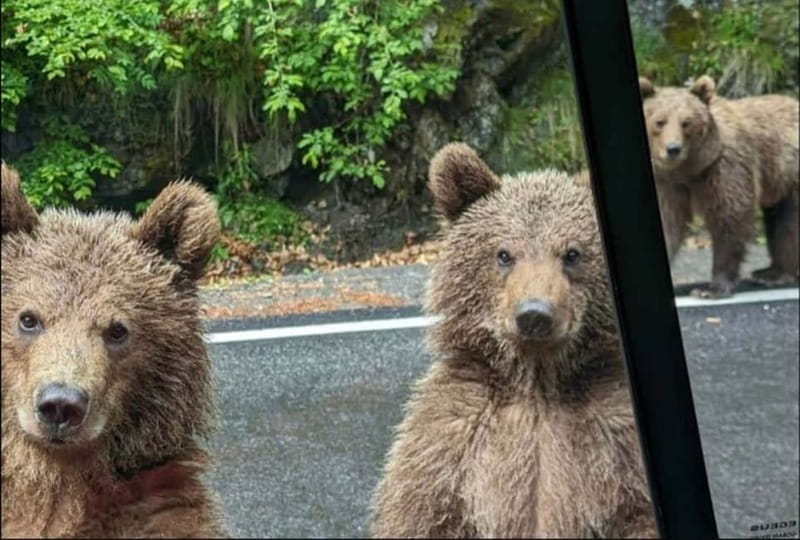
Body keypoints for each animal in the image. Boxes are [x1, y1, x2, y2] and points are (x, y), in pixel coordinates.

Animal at [370, 143, 657, 538]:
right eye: (504, 254)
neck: (536, 384)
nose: (534, 314)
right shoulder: (450, 443)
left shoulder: (615, 437)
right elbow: (421, 514)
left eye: (572, 253)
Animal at [639, 75, 799, 298]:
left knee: (790, 222)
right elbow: (668, 222)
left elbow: (730, 217)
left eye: (686, 123)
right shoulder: (667, 183)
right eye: (660, 122)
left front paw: (711, 289)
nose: (673, 149)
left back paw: (777, 275)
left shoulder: (724, 167)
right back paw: (770, 272)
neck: (689, 169)